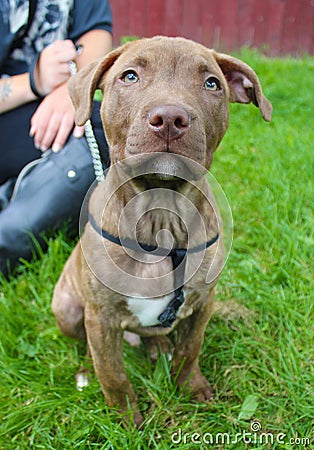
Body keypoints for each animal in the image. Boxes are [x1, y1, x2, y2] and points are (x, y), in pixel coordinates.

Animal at [52, 36, 272, 426]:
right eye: (129, 76)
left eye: (211, 83)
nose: (170, 117)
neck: (160, 216)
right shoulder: (101, 317)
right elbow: (112, 372)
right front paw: (125, 419)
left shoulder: (203, 303)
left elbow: (189, 349)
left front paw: (192, 388)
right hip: (67, 308)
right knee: (88, 347)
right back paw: (87, 372)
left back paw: (157, 348)